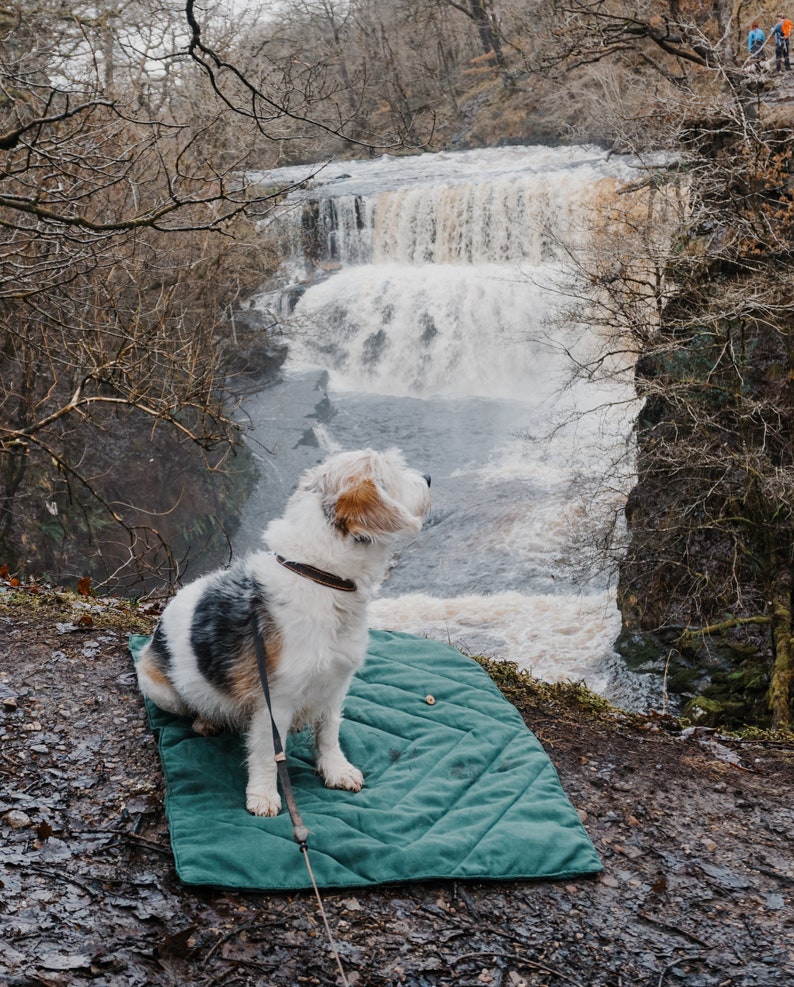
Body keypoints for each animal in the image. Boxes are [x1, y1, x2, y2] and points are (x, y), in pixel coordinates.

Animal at [138, 448, 434, 820]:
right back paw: (207, 721)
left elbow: (329, 733)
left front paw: (335, 770)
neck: (320, 576)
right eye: (391, 471)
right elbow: (268, 753)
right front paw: (263, 795)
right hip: (160, 687)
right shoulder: (274, 701)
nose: (428, 478)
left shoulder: (336, 686)